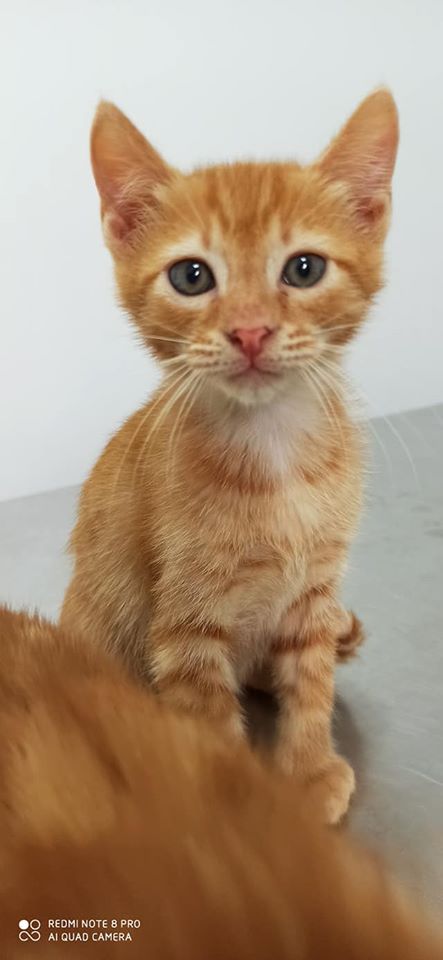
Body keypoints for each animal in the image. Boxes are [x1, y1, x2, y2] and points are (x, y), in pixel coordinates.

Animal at [61, 92, 398, 824]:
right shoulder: (186, 626)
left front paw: (306, 767)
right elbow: (209, 720)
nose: (249, 331)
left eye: (304, 268)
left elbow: (311, 679)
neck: (273, 451)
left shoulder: (313, 590)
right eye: (192, 276)